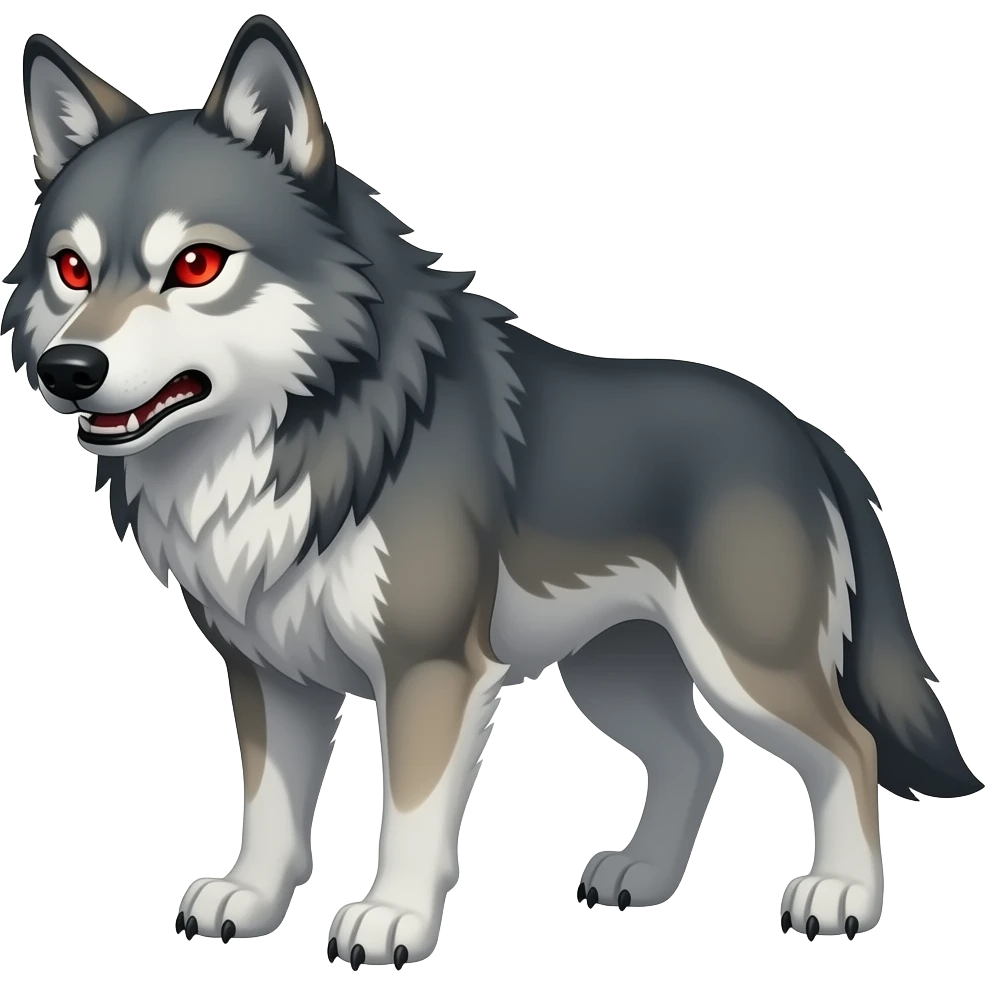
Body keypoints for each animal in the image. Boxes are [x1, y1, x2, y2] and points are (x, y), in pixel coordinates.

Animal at [3, 12, 981, 967]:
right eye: (72, 269)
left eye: (198, 265)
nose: (69, 370)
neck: (301, 439)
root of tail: (807, 435)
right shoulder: (269, 672)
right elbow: (271, 807)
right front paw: (250, 899)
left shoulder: (428, 667)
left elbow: (408, 810)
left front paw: (391, 918)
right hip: (613, 673)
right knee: (697, 753)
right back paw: (642, 877)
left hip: (744, 666)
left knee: (847, 747)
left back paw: (842, 896)